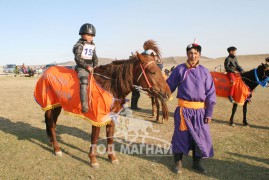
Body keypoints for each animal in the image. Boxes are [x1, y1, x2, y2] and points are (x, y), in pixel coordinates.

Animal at [34, 40, 171, 168]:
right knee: (51, 124)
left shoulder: (111, 116)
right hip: (50, 105)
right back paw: (57, 149)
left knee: (52, 123)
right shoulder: (97, 118)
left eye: (160, 69)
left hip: (56, 106)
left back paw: (53, 143)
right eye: (152, 71)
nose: (168, 94)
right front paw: (93, 159)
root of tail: (47, 71)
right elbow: (94, 137)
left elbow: (110, 136)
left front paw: (112, 157)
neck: (110, 85)